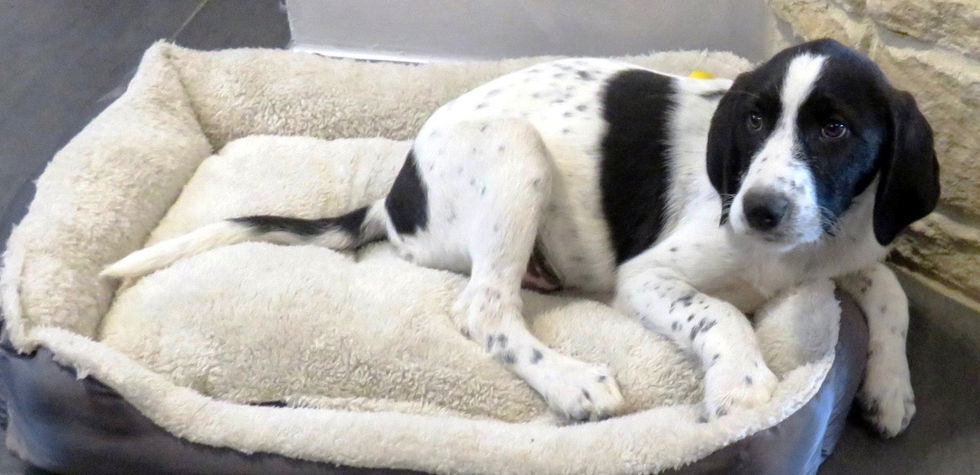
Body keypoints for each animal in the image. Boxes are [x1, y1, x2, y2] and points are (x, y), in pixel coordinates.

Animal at [103, 39, 939, 436]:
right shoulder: (650, 275)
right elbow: (724, 311)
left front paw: (891, 386)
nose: (758, 208)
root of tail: (397, 193)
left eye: (834, 130)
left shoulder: (852, 241)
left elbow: (891, 294)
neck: (804, 251)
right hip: (515, 153)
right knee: (482, 310)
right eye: (756, 121)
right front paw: (739, 382)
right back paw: (572, 381)